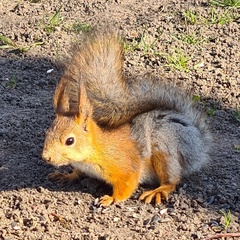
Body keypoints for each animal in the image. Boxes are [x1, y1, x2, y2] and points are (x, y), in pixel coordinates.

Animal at [42, 31, 211, 206]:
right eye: (47, 133)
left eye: (70, 141)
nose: (45, 157)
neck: (94, 150)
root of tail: (198, 144)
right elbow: (77, 173)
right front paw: (66, 175)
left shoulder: (126, 167)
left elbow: (127, 185)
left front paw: (111, 198)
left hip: (166, 150)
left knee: (171, 180)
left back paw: (157, 191)